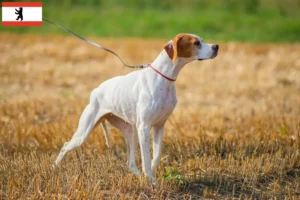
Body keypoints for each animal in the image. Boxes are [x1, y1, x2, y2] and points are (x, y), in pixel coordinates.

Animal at [54, 33, 218, 183]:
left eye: (202, 40)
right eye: (196, 43)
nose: (216, 46)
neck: (163, 78)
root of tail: (95, 91)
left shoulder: (159, 126)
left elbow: (156, 156)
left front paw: (151, 176)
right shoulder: (144, 127)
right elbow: (146, 157)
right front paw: (151, 180)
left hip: (130, 132)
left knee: (131, 163)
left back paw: (138, 177)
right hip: (84, 133)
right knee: (65, 146)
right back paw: (54, 168)